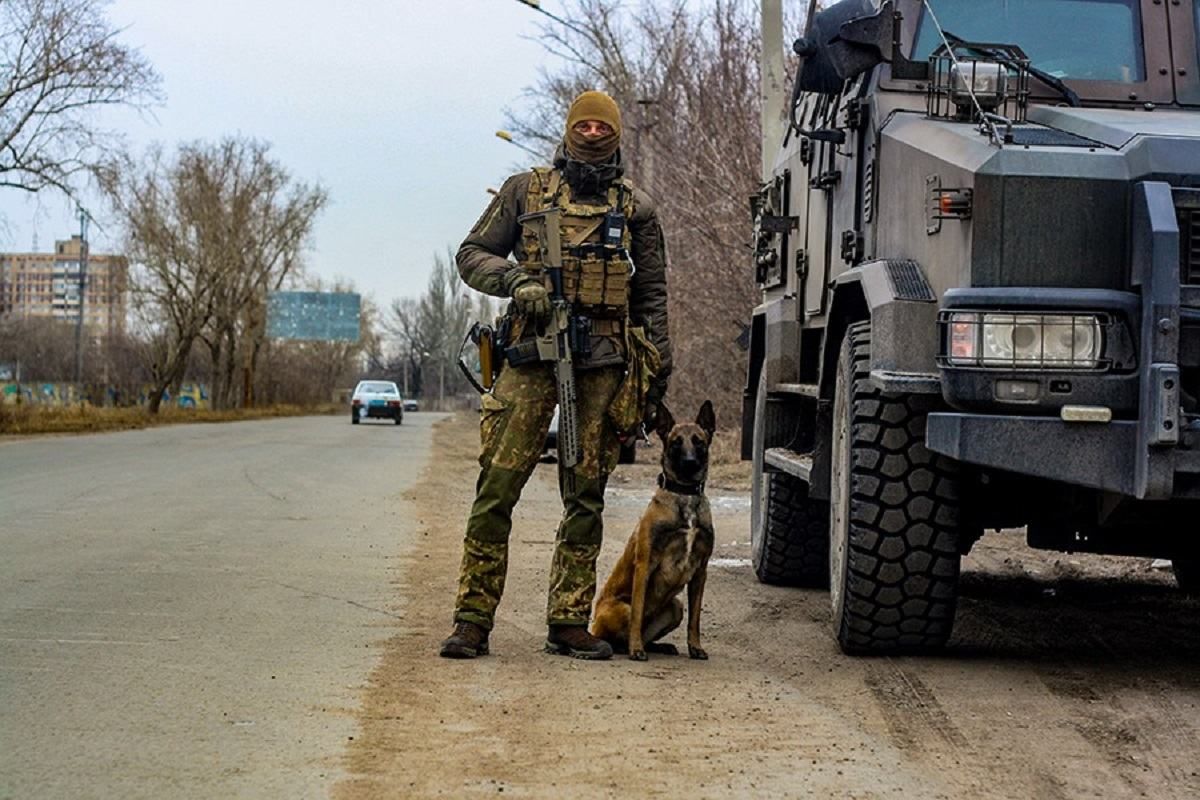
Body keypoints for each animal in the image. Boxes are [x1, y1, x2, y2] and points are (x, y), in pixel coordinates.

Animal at [588, 402, 710, 662]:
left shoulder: (700, 572)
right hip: (621, 609)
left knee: (649, 633)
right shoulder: (644, 565)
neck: (685, 496)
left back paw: (658, 646)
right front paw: (636, 650)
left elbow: (695, 619)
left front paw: (695, 647)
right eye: (675, 442)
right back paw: (624, 646)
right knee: (620, 634)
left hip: (675, 607)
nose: (689, 462)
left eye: (698, 442)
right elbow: (637, 615)